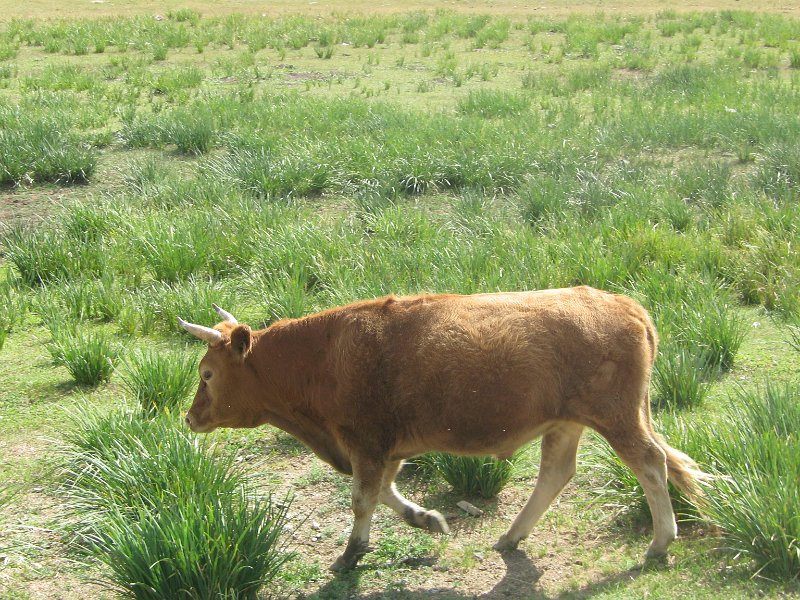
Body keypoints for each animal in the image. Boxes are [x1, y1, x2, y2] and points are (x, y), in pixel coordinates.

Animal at [180, 288, 708, 572]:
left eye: (207, 373)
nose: (190, 417)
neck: (325, 354)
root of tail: (623, 304)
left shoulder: (367, 443)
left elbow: (363, 498)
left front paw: (351, 553)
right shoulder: (384, 448)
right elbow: (384, 492)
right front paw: (426, 519)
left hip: (616, 418)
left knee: (650, 463)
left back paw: (660, 541)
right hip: (566, 422)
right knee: (557, 474)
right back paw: (511, 537)